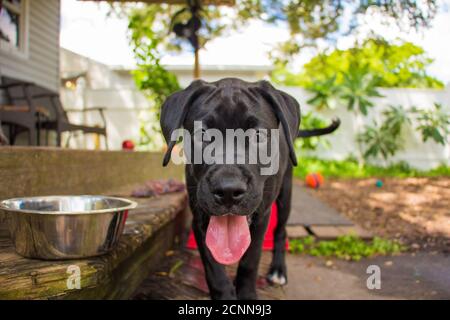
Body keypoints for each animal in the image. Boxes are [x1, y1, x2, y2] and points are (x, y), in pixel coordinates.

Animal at [160, 79, 340, 298]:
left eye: (258, 135)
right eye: (202, 134)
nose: (228, 191)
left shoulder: (262, 216)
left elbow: (250, 261)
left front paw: (246, 293)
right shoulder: (200, 219)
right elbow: (213, 268)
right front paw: (225, 295)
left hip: (285, 197)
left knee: (281, 232)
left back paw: (278, 270)